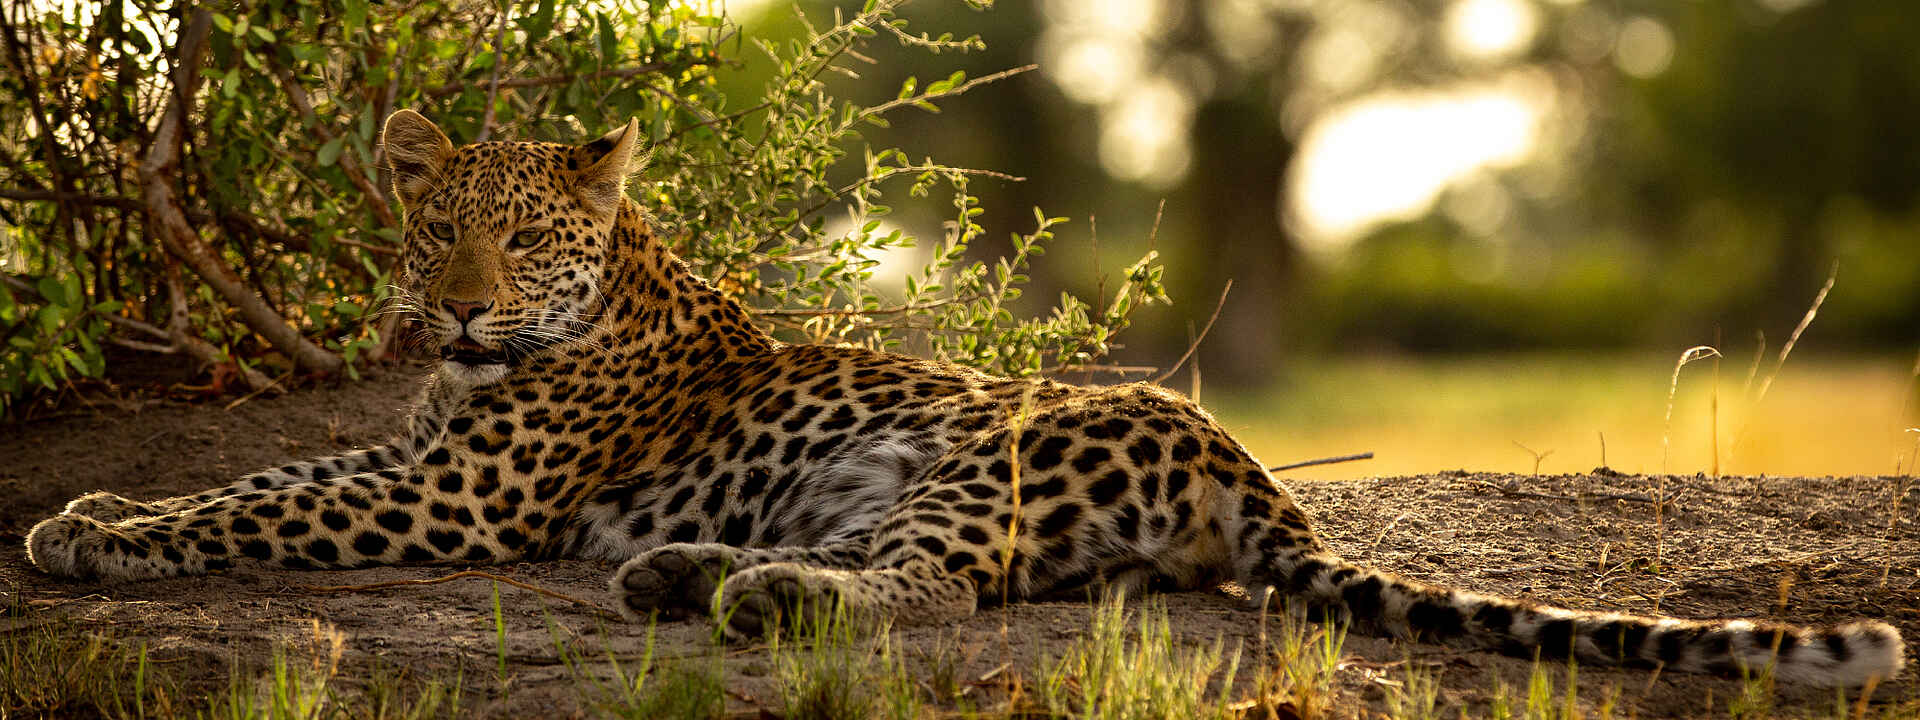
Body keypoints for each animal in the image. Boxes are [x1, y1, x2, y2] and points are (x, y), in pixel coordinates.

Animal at [24, 110, 1903, 689]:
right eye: (436, 222)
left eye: (526, 231)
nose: (469, 299)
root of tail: (1255, 472)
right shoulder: (413, 451)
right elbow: (264, 476)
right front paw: (97, 507)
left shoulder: (458, 494)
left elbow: (258, 508)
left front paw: (96, 538)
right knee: (921, 574)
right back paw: (683, 575)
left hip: (983, 445)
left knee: (941, 587)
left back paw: (752, 597)